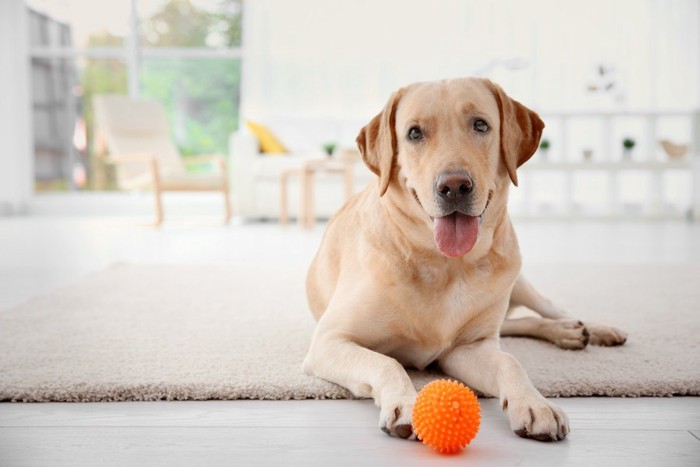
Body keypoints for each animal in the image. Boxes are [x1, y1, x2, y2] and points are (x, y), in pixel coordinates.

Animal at [304, 77, 628, 442]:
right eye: (414, 133)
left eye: (480, 125)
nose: (455, 186)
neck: (445, 264)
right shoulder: (329, 342)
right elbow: (388, 361)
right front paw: (405, 402)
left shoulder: (465, 348)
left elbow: (510, 362)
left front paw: (535, 404)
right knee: (514, 326)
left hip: (518, 283)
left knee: (546, 312)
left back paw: (587, 329)